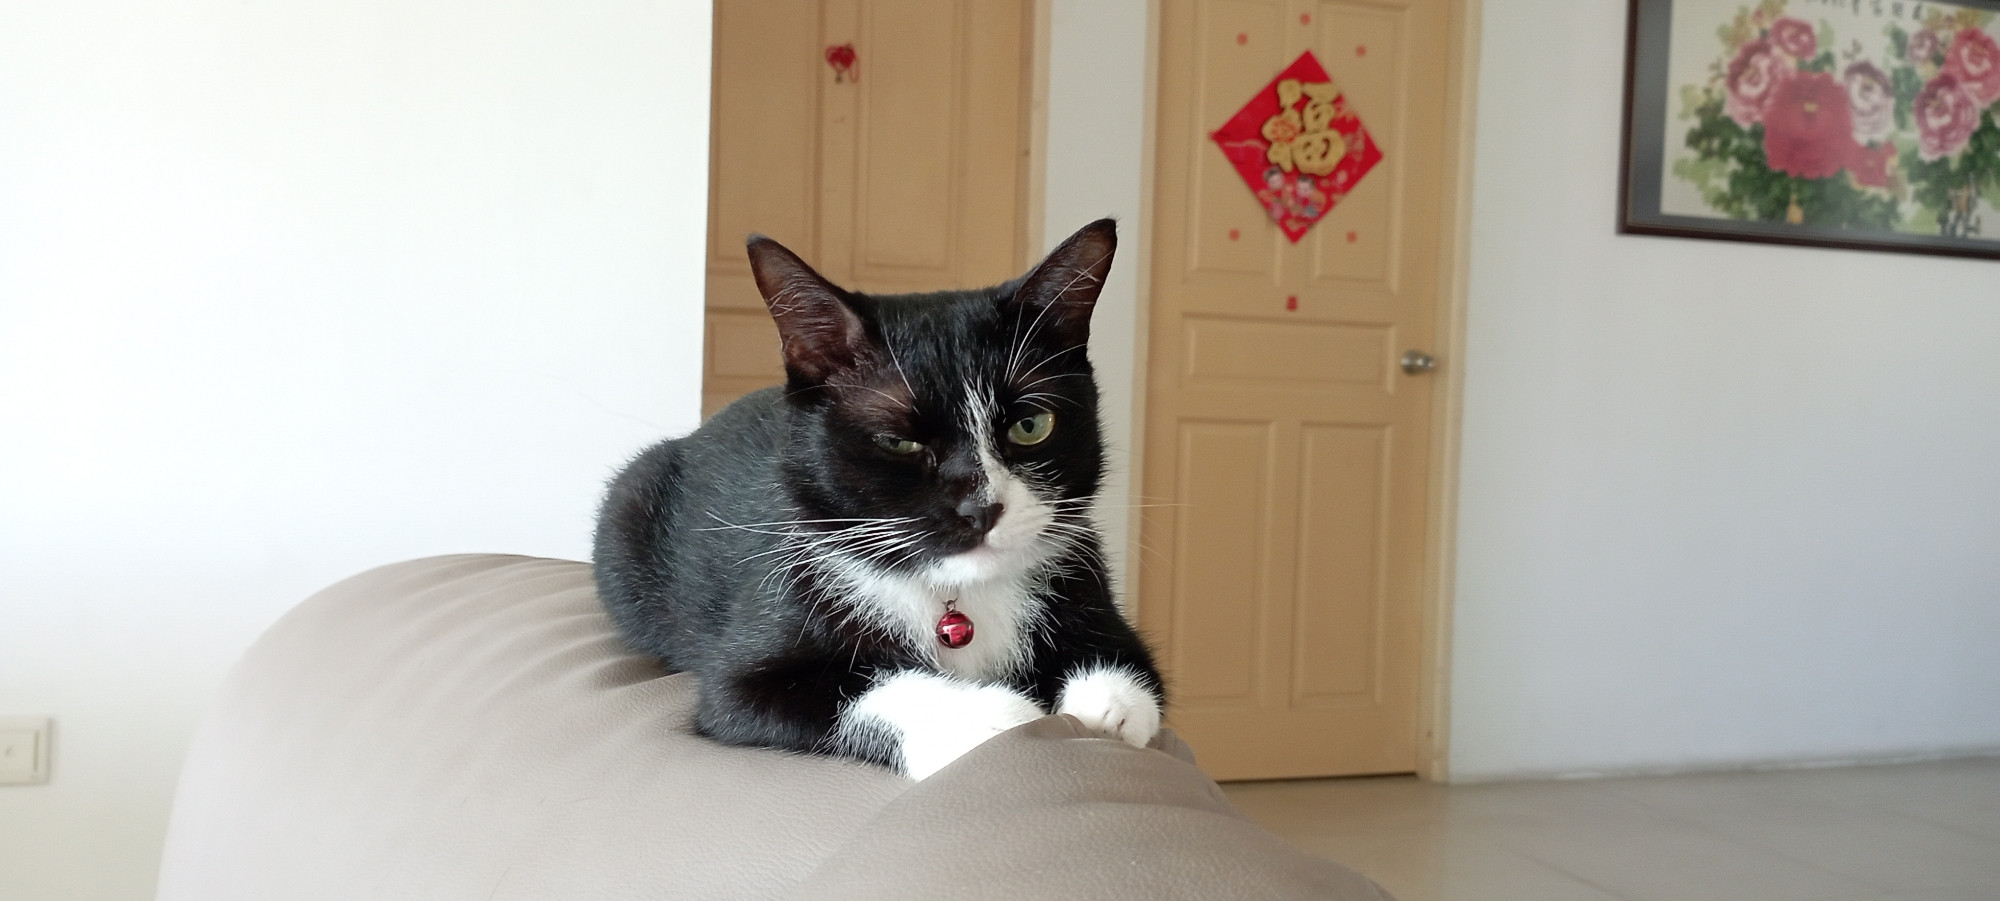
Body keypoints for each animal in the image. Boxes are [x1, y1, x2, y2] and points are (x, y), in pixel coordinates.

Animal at [584, 221, 1168, 776]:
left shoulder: (1087, 582)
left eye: (1030, 425)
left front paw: (1104, 710)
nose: (981, 509)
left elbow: (1136, 678)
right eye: (898, 441)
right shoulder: (754, 655)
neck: (955, 593)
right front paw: (998, 717)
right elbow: (823, 690)